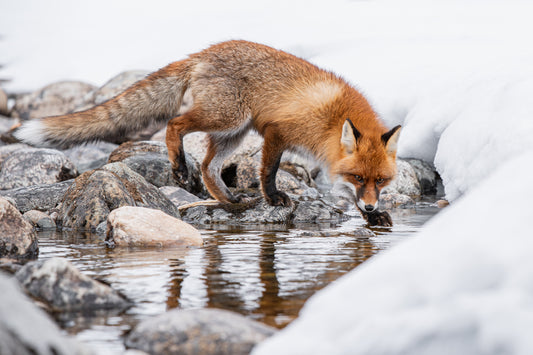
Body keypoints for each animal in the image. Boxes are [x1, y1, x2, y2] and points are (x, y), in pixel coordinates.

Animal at [14, 40, 400, 227]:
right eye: (359, 176)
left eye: (380, 181)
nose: (371, 204)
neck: (332, 119)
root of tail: (202, 53)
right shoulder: (277, 132)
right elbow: (269, 170)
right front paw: (274, 196)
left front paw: (371, 216)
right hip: (227, 118)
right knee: (175, 125)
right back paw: (179, 167)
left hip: (234, 132)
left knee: (208, 167)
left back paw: (227, 199)